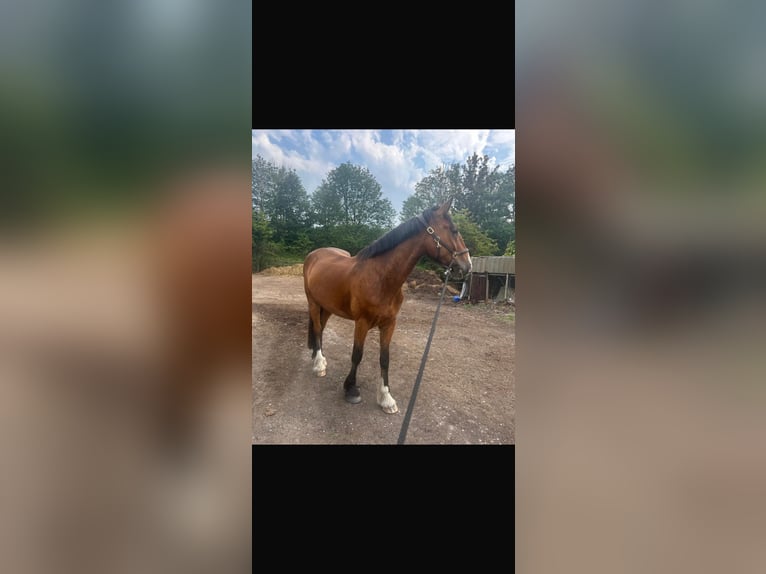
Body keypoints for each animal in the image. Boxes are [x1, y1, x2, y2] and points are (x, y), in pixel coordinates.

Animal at [303, 198, 472, 414]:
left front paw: (386, 398)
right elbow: (357, 355)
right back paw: (318, 365)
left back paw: (321, 360)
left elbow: (385, 358)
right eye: (454, 230)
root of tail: (314, 255)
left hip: (327, 307)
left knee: (321, 329)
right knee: (317, 329)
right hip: (313, 302)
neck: (381, 277)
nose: (467, 265)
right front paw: (351, 389)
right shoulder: (362, 322)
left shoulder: (389, 324)